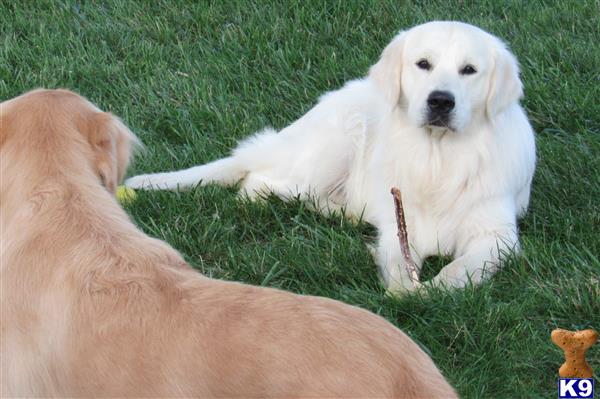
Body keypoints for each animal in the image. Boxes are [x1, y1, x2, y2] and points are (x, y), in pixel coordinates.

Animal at [127, 21, 540, 296]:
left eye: (469, 70)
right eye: (423, 63)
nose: (441, 101)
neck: (438, 158)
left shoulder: (497, 236)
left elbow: (463, 268)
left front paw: (431, 289)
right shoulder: (401, 224)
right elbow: (399, 259)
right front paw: (404, 289)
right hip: (339, 139)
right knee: (256, 183)